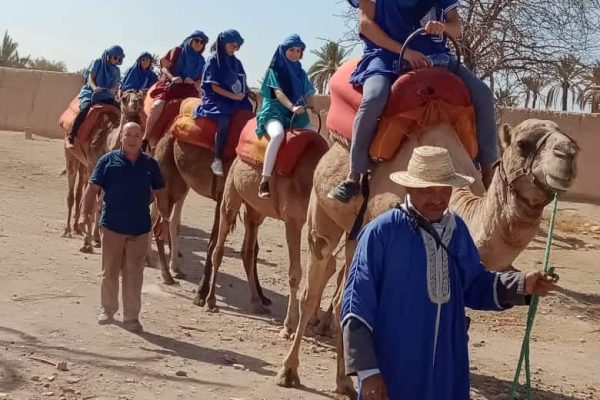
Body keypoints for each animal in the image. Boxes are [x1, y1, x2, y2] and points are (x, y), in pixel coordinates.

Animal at [202, 130, 328, 336]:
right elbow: (295, 273)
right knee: (219, 247)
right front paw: (288, 326)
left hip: (256, 210)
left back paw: (257, 303)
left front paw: (310, 321)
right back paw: (210, 301)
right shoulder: (293, 221)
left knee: (247, 250)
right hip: (232, 189)